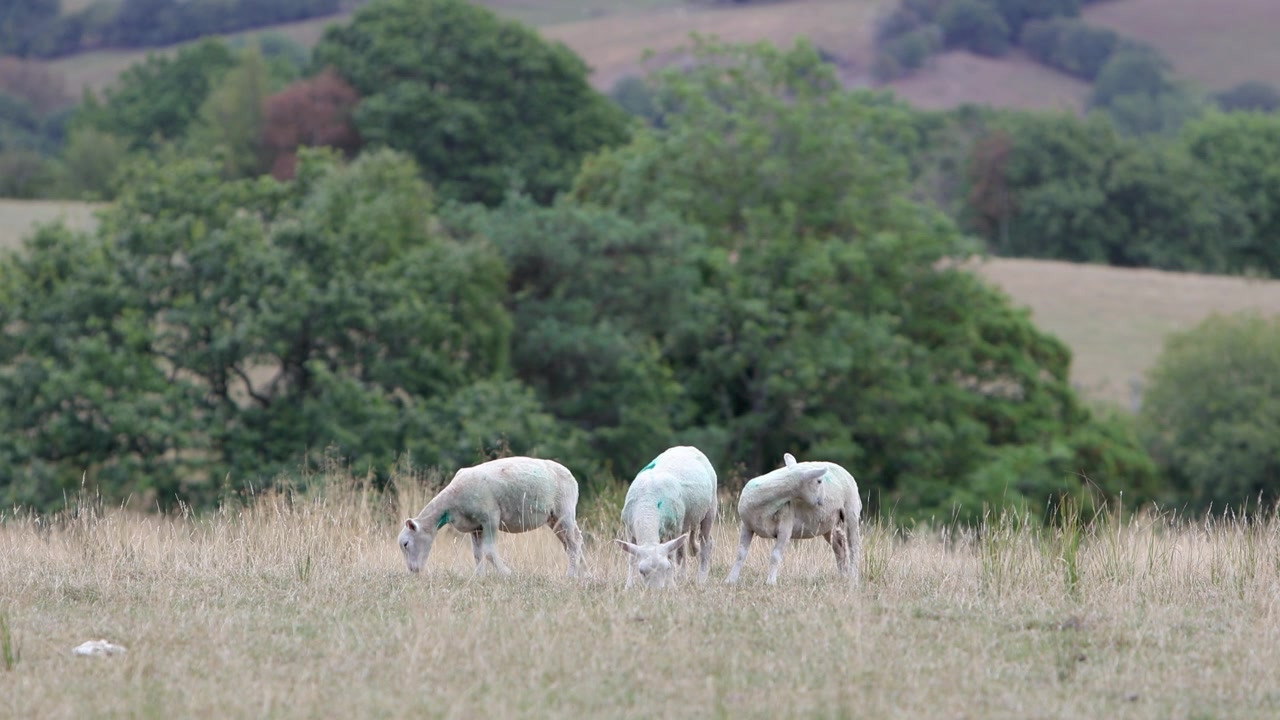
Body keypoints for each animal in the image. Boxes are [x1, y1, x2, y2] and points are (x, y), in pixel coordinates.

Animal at [397, 456, 584, 577]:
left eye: (406, 544)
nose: (413, 570)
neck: (451, 504)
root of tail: (572, 478)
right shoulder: (475, 527)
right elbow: (477, 554)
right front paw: (480, 577)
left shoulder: (490, 519)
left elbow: (488, 552)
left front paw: (507, 573)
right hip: (554, 519)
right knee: (574, 541)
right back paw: (584, 574)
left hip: (564, 510)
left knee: (573, 543)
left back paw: (571, 575)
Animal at [614, 445, 718, 588]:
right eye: (641, 571)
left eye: (666, 568)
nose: (656, 591)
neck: (648, 506)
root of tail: (686, 447)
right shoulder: (628, 530)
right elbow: (632, 558)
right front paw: (628, 586)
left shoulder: (674, 529)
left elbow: (671, 556)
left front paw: (671, 584)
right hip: (685, 521)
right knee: (682, 549)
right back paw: (682, 577)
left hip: (710, 508)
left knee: (706, 542)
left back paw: (700, 578)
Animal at [725, 452, 862, 586]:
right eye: (819, 481)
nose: (822, 501)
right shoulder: (746, 526)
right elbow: (740, 554)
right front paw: (731, 580)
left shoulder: (785, 527)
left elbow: (775, 556)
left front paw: (770, 582)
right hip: (827, 525)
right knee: (839, 546)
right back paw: (843, 577)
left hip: (851, 512)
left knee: (854, 547)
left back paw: (854, 578)